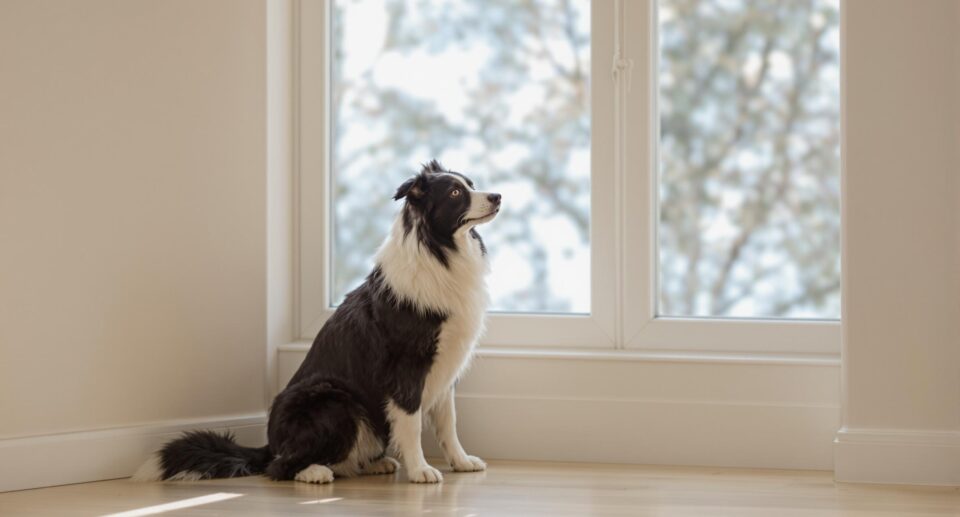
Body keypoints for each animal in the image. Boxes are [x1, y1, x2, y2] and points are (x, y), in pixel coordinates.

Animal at [135, 161, 502, 484]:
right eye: (455, 192)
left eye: (470, 183)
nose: (497, 195)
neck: (441, 252)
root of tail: (270, 444)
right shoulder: (407, 367)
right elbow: (412, 424)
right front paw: (421, 471)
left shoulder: (446, 366)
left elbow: (448, 424)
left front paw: (461, 462)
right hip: (334, 399)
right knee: (280, 467)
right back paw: (314, 473)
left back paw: (372, 464)